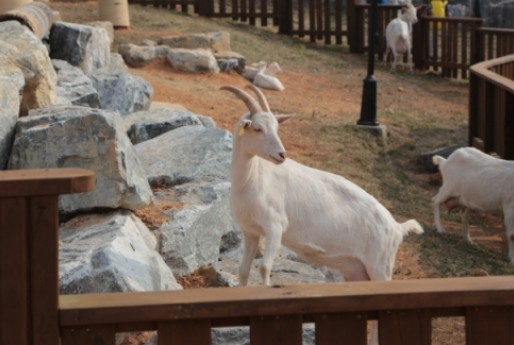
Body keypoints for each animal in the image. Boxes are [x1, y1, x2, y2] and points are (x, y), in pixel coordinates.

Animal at [222, 84, 422, 288]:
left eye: (276, 128)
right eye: (257, 128)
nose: (281, 155)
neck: (253, 179)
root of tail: (397, 227)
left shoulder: (275, 227)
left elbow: (264, 268)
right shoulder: (251, 232)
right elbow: (243, 270)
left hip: (380, 265)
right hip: (358, 270)